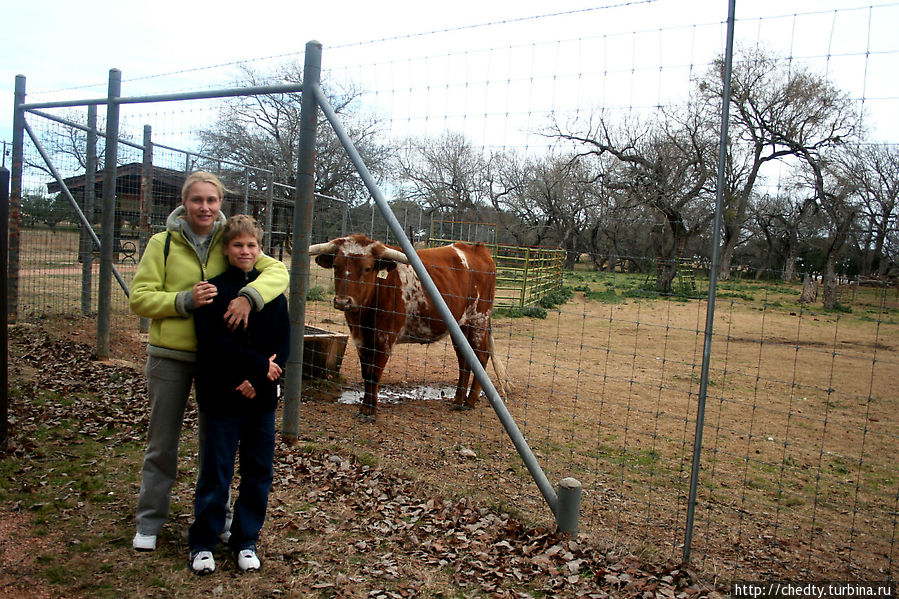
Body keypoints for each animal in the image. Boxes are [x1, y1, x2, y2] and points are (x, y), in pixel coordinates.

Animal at [310, 236, 510, 422]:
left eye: (367, 268)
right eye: (336, 266)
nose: (343, 301)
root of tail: (478, 249)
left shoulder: (384, 338)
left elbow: (374, 373)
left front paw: (370, 412)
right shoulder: (361, 339)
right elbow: (366, 373)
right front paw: (364, 408)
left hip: (478, 320)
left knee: (481, 357)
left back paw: (469, 402)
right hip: (460, 326)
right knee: (464, 360)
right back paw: (457, 400)